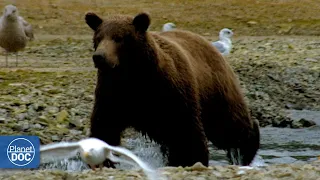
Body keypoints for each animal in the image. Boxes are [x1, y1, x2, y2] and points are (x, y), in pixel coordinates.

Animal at [85, 11, 260, 168]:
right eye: (98, 38)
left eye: (119, 38)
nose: (99, 56)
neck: (134, 77)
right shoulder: (113, 92)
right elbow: (104, 127)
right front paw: (103, 160)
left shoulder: (172, 92)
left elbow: (186, 132)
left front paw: (190, 159)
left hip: (215, 89)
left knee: (229, 125)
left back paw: (247, 149)